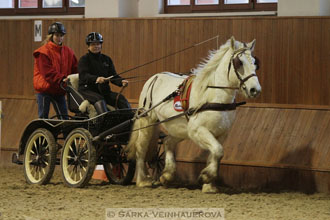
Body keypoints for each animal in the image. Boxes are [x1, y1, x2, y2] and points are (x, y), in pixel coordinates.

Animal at [127, 36, 262, 192]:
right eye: (239, 62)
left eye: (255, 63)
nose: (255, 90)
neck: (213, 96)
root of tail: (154, 77)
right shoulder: (197, 130)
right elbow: (218, 150)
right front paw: (206, 177)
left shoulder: (221, 134)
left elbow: (215, 154)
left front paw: (209, 185)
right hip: (147, 120)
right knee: (141, 147)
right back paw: (142, 180)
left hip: (179, 128)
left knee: (168, 142)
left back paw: (166, 176)